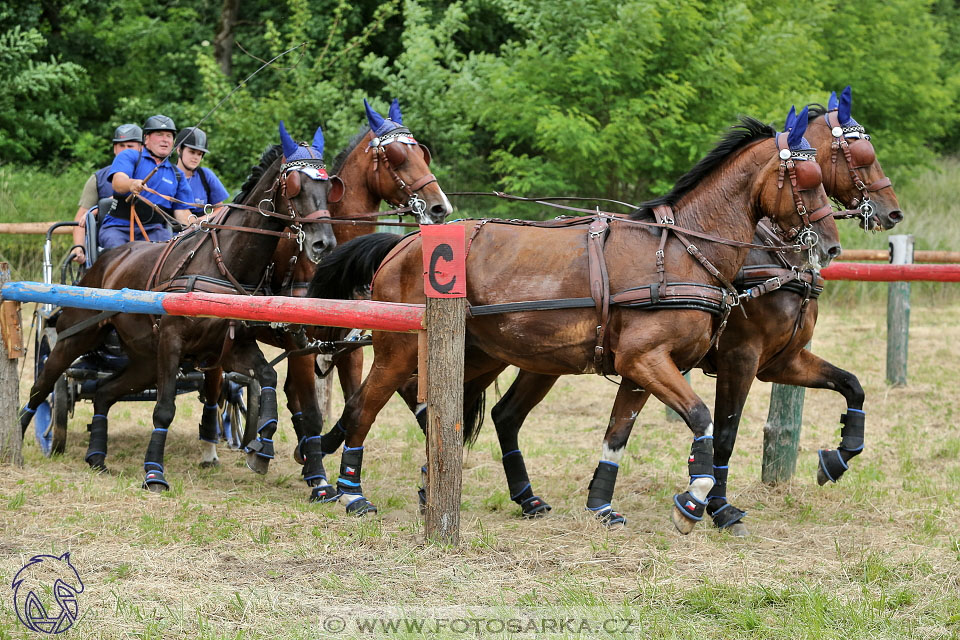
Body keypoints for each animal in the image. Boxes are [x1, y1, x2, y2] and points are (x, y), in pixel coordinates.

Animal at [16, 122, 340, 492]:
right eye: (296, 184)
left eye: (329, 185)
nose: (324, 243)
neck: (222, 263)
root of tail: (105, 261)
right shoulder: (172, 342)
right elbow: (164, 408)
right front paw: (154, 472)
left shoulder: (230, 347)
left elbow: (267, 376)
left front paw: (262, 445)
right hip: (76, 338)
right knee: (44, 386)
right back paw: (20, 437)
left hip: (143, 359)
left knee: (103, 392)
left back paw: (97, 456)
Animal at [196, 99, 454, 480]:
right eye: (395, 156)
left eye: (422, 153)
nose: (439, 206)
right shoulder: (302, 346)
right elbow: (313, 412)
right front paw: (317, 474)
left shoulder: (349, 347)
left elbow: (351, 404)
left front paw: (313, 456)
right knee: (217, 384)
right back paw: (211, 448)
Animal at [312, 106, 836, 528]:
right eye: (808, 181)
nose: (830, 245)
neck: (681, 251)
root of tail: (401, 244)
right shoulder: (653, 360)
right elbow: (704, 419)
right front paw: (695, 501)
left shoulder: (641, 368)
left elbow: (618, 433)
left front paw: (602, 503)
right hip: (400, 349)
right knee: (365, 406)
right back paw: (351, 492)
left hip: (491, 356)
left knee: (455, 412)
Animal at [424, 90, 904, 528]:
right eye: (860, 158)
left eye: (823, 174)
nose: (891, 213)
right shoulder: (735, 359)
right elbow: (722, 430)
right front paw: (714, 505)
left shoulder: (779, 361)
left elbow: (852, 385)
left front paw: (838, 457)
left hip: (535, 358)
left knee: (502, 415)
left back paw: (524, 498)